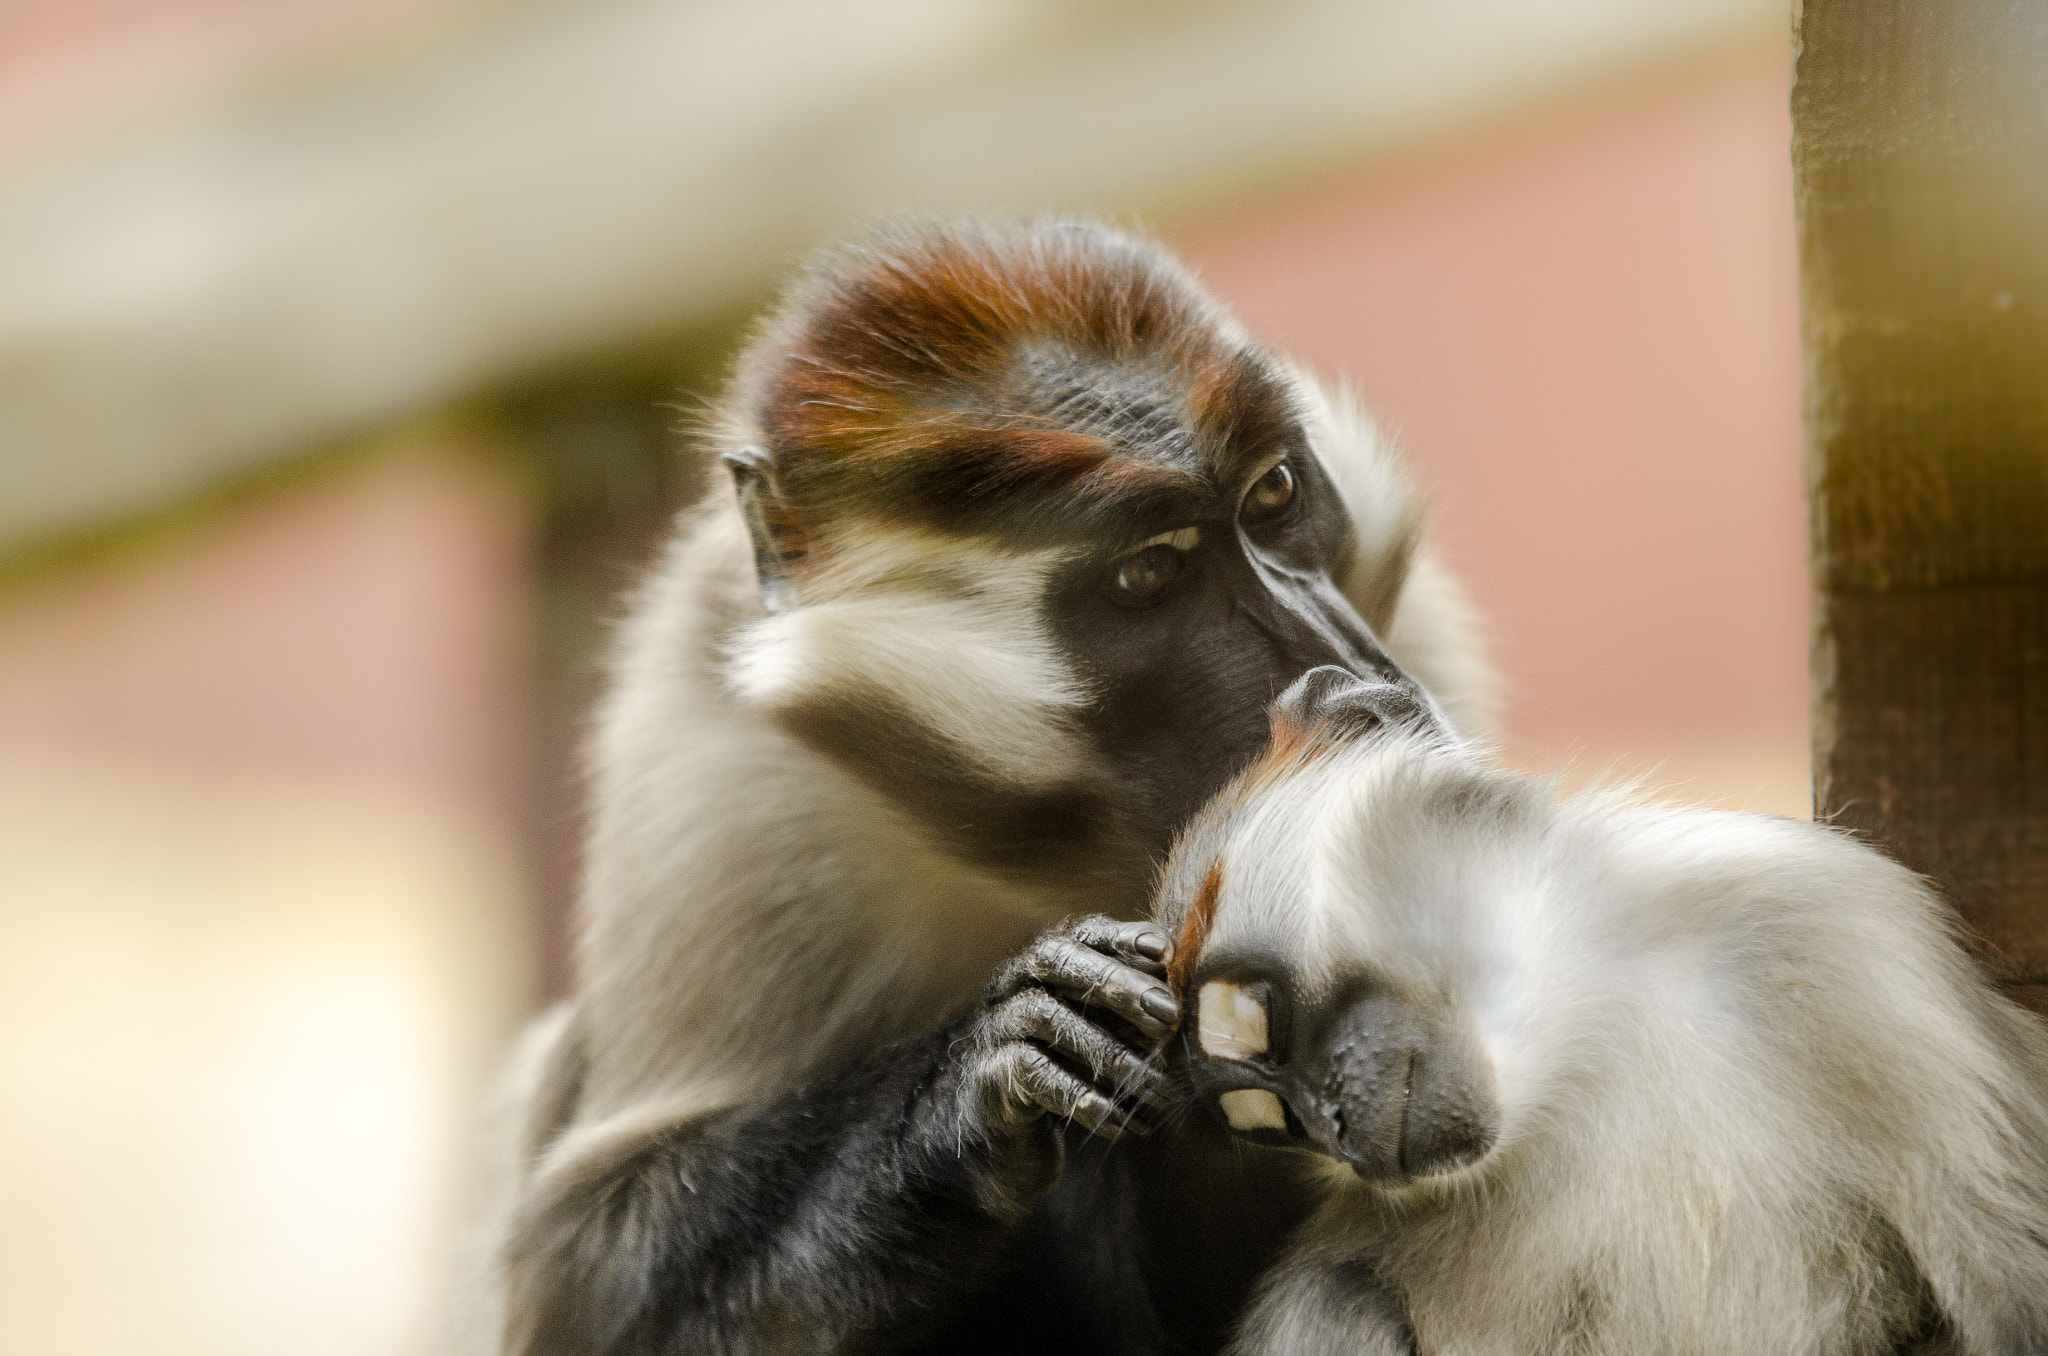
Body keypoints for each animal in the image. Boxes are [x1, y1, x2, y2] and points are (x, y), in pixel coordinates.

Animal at [481, 218, 1495, 1355]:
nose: (1333, 659)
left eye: (1271, 497)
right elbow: (580, 1267)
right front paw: (975, 1085)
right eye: (1147, 574)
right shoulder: (712, 759)